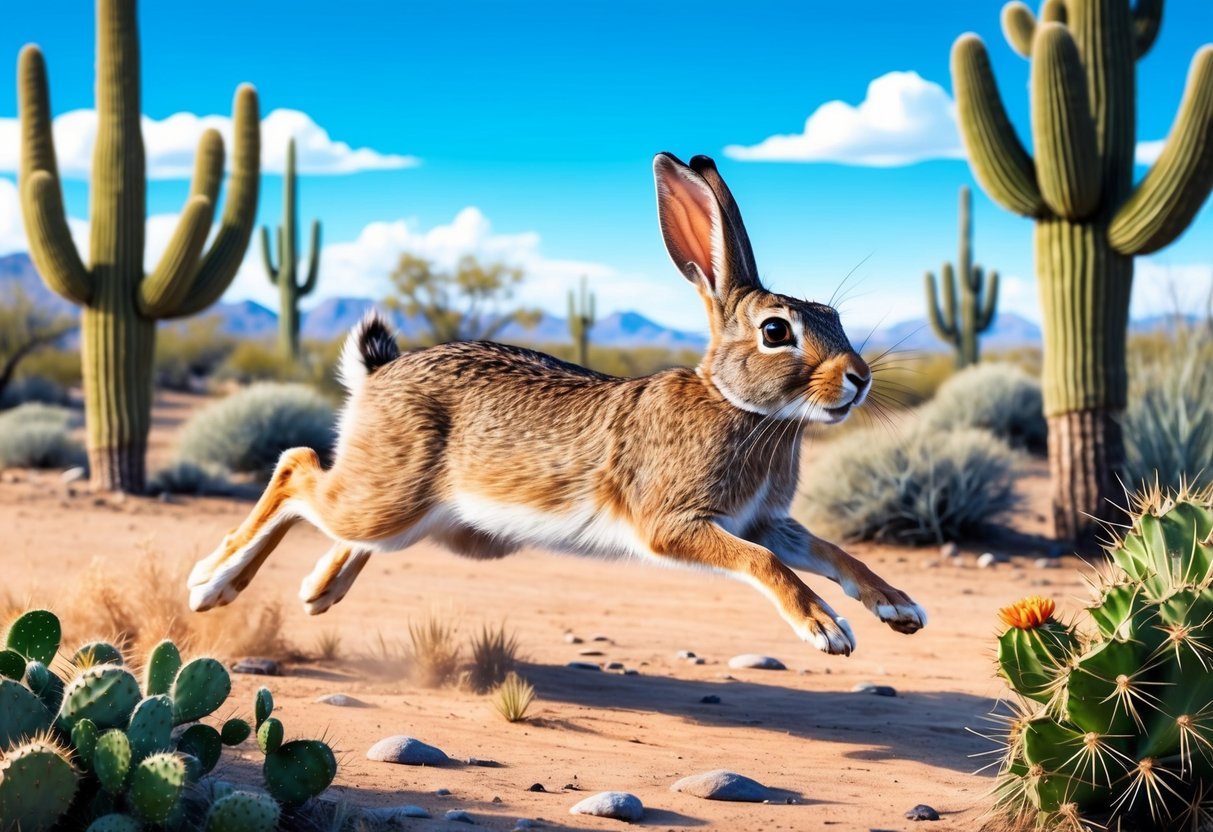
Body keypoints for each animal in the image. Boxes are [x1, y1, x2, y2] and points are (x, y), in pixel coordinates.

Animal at [187, 152, 926, 656]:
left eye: (835, 317)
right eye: (776, 333)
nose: (858, 378)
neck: (737, 406)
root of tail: (379, 372)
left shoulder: (763, 521)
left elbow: (829, 551)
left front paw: (898, 608)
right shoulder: (675, 522)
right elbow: (767, 564)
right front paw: (825, 628)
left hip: (425, 522)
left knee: (337, 518)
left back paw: (319, 589)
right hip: (387, 497)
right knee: (295, 468)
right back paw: (210, 584)